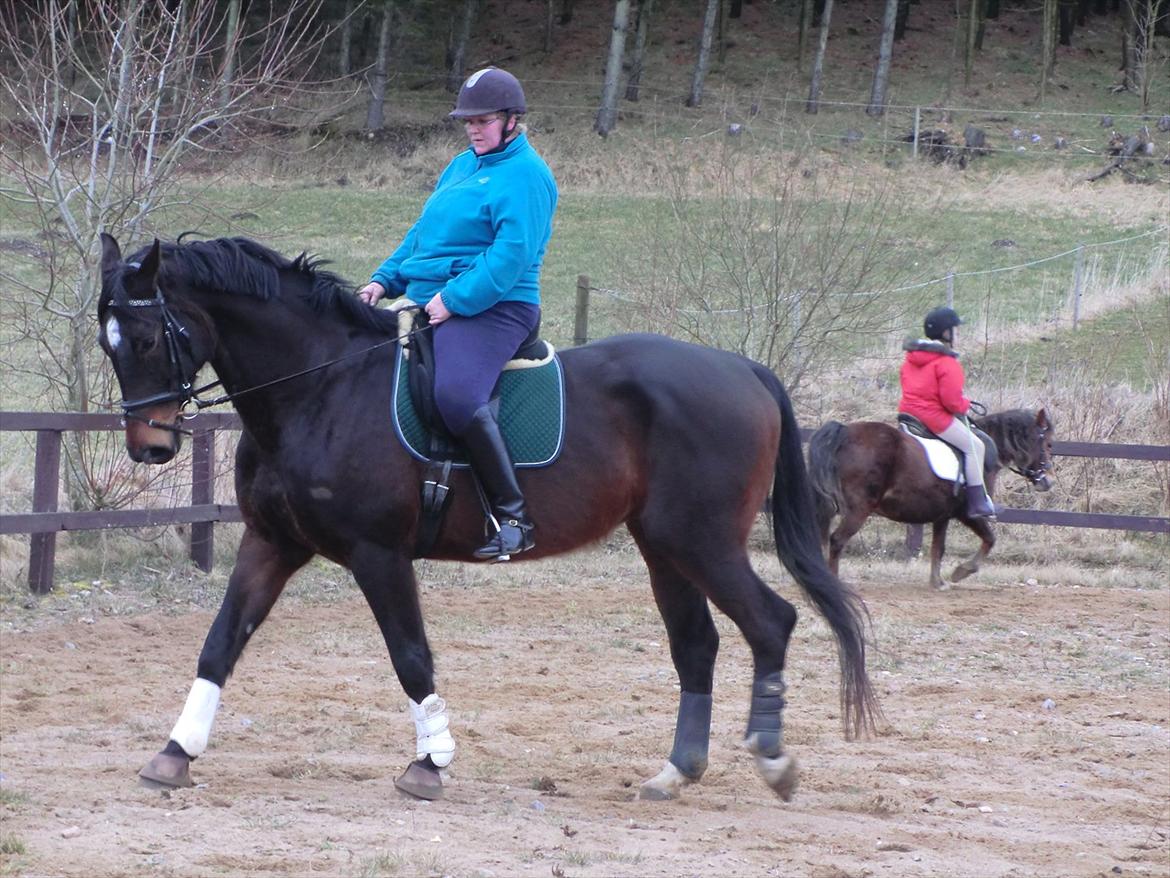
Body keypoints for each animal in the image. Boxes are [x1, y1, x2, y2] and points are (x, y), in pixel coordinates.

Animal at [809, 412, 1057, 592]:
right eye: (1047, 444)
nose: (1048, 482)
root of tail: (844, 432)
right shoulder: (967, 513)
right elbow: (989, 539)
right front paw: (962, 570)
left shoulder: (942, 516)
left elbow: (938, 548)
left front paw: (937, 582)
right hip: (858, 510)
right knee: (837, 540)